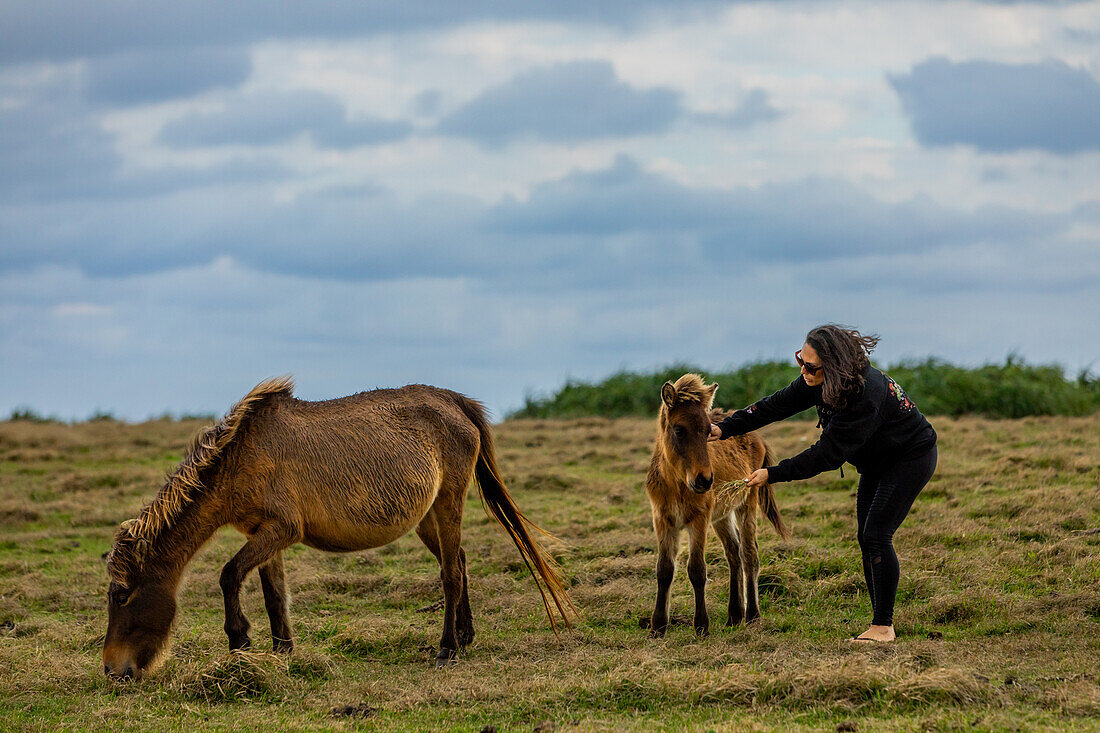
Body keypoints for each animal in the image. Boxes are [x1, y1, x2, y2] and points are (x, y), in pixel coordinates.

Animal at [103, 378, 576, 677]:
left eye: (122, 595)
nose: (111, 669)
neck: (240, 456)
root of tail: (454, 401)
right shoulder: (263, 534)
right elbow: (274, 594)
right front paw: (281, 652)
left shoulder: (281, 529)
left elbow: (229, 575)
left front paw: (240, 642)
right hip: (426, 517)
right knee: (457, 561)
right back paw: (464, 636)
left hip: (448, 503)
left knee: (450, 574)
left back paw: (446, 649)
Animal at [642, 372, 792, 633]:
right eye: (679, 430)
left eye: (706, 431)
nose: (704, 480)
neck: (677, 484)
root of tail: (758, 438)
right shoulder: (662, 519)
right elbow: (664, 569)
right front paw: (658, 626)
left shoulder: (699, 519)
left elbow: (697, 569)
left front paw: (701, 625)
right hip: (722, 515)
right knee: (734, 553)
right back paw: (734, 615)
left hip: (746, 503)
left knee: (749, 554)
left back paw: (752, 615)